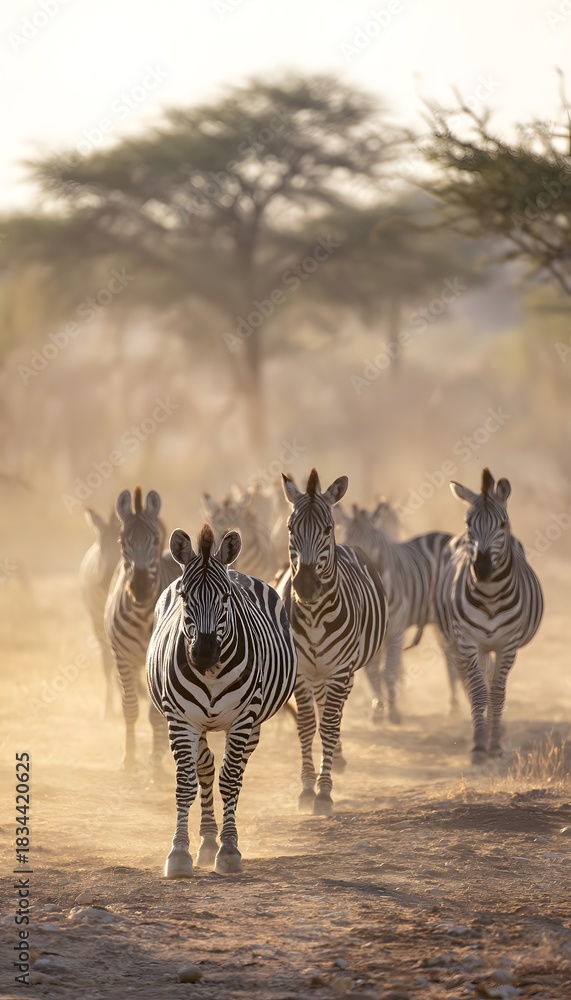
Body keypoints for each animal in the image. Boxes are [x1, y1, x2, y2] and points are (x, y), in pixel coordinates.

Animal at [104, 486, 180, 772]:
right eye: (121, 541)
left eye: (155, 540)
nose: (139, 588)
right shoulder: (121, 657)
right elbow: (130, 707)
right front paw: (128, 758)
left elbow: (155, 714)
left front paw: (156, 763)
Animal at [146, 523, 297, 878]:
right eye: (185, 596)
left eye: (226, 597)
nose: (203, 654)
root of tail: (236, 569)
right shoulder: (180, 720)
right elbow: (186, 783)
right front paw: (180, 852)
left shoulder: (243, 719)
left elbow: (230, 781)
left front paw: (228, 850)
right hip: (196, 723)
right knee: (205, 767)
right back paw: (206, 841)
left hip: (254, 724)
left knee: (235, 771)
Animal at [276, 469, 388, 815]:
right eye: (290, 528)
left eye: (327, 529)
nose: (305, 586)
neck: (314, 615)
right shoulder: (300, 672)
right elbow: (306, 725)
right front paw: (306, 788)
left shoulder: (340, 671)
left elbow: (328, 725)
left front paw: (324, 792)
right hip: (318, 673)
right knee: (323, 707)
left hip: (344, 671)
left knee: (333, 713)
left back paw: (336, 758)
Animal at [336, 503, 455, 723]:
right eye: (345, 544)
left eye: (373, 546)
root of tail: (445, 535)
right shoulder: (369, 634)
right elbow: (372, 672)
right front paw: (377, 710)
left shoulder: (396, 632)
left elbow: (388, 671)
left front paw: (393, 713)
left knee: (452, 655)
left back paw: (455, 705)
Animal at [434, 468, 543, 764]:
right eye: (468, 523)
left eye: (502, 524)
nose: (481, 569)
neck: (491, 597)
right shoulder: (468, 642)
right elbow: (480, 691)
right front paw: (479, 745)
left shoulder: (507, 646)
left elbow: (496, 693)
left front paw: (495, 745)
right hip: (466, 643)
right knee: (474, 681)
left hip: (492, 646)